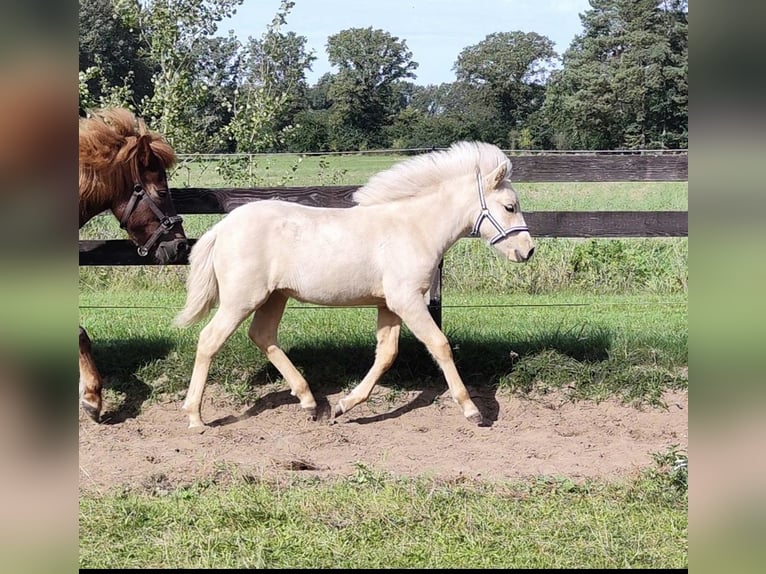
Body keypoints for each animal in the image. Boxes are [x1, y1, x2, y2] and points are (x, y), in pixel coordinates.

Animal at [175, 142, 536, 430]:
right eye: (509, 206)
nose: (528, 250)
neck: (414, 228)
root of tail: (221, 228)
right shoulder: (406, 300)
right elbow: (440, 345)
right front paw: (473, 411)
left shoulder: (388, 304)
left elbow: (386, 354)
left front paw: (343, 406)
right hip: (241, 299)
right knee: (209, 340)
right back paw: (194, 416)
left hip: (274, 296)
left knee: (262, 336)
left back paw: (310, 402)